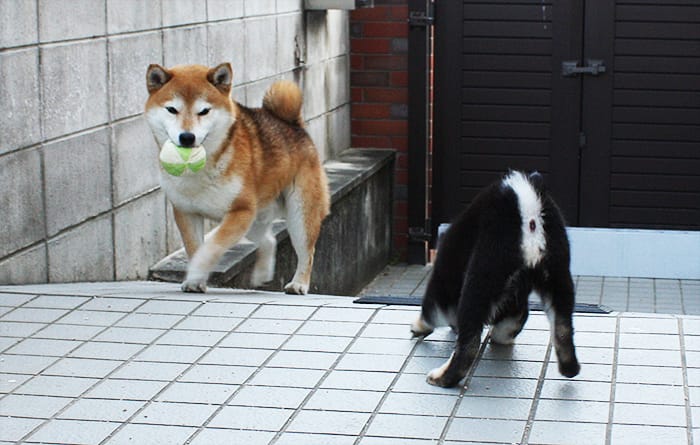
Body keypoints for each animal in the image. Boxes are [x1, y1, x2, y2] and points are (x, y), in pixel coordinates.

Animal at [146, 61, 330, 292]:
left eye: (204, 111)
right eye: (172, 109)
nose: (187, 137)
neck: (200, 168)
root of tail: (294, 125)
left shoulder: (240, 211)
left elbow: (211, 246)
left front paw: (197, 271)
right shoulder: (187, 212)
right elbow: (194, 247)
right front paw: (195, 282)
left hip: (299, 214)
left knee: (307, 252)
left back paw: (298, 284)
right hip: (255, 219)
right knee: (269, 241)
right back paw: (262, 274)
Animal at [410, 170, 580, 386]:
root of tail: (528, 213)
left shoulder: (441, 287)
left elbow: (430, 313)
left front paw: (418, 326)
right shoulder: (516, 303)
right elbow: (514, 321)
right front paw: (503, 336)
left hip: (481, 277)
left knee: (468, 345)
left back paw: (442, 377)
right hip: (559, 276)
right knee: (563, 329)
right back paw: (569, 368)